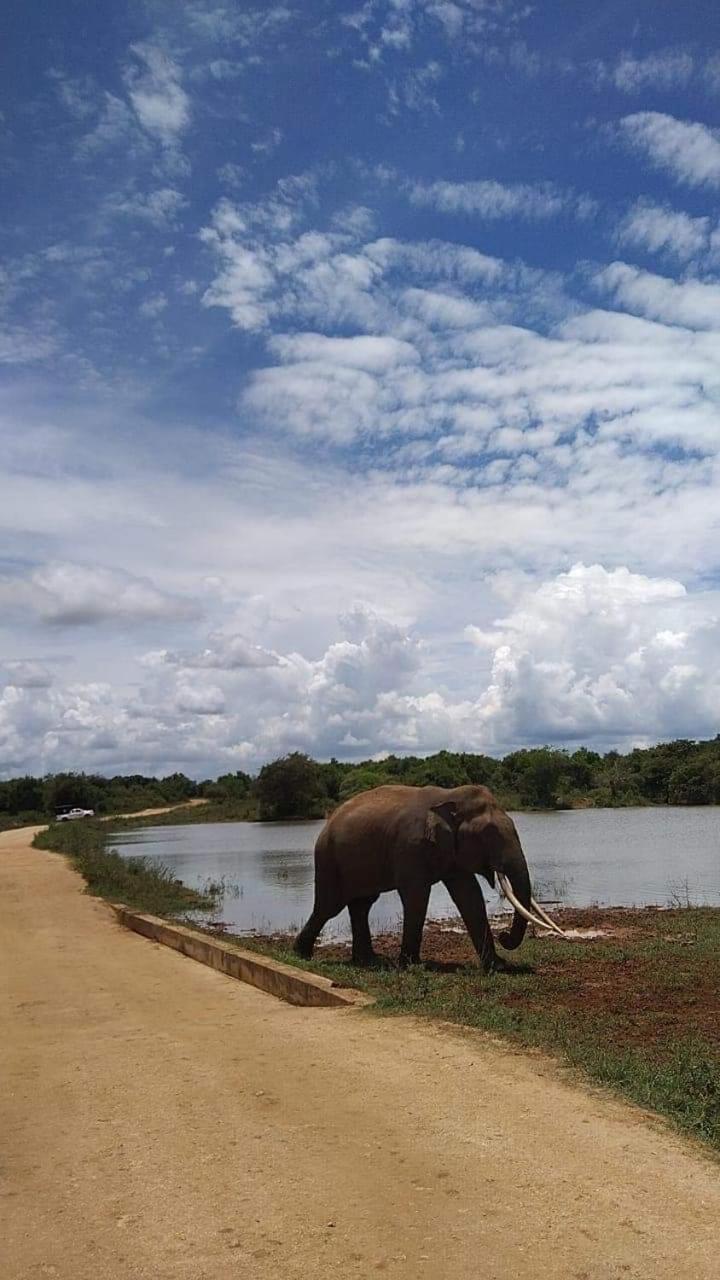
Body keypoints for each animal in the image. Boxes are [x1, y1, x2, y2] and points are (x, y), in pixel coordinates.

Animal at [294, 783, 565, 970]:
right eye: (489, 834)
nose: (504, 936)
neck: (449, 797)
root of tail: (327, 822)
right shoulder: (410, 847)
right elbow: (416, 896)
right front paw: (411, 966)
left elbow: (470, 897)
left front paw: (497, 966)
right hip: (328, 858)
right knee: (330, 906)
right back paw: (301, 954)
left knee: (362, 905)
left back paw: (369, 961)